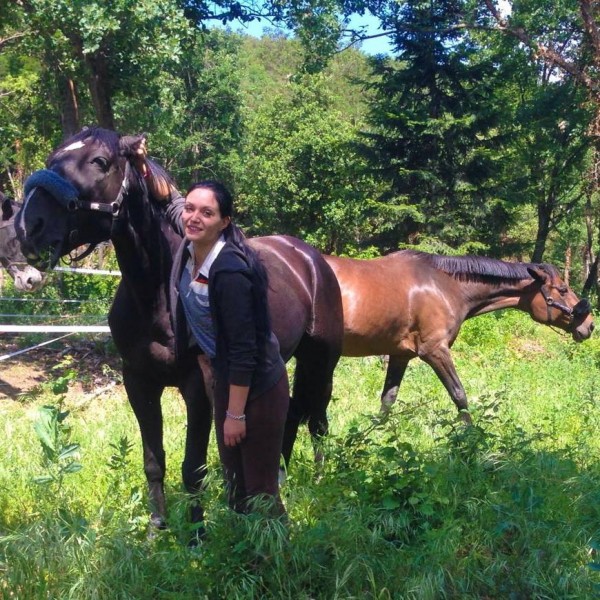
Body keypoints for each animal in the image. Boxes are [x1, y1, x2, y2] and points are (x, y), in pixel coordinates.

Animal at [15, 127, 343, 535]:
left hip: (321, 361)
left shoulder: (197, 387)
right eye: (51, 158)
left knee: (317, 417)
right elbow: (153, 460)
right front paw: (158, 527)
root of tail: (309, 257)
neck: (155, 294)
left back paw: (319, 479)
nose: (28, 228)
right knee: (292, 414)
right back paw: (282, 476)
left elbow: (193, 468)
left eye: (100, 162)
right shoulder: (139, 382)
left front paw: (197, 533)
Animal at [324, 251, 595, 423]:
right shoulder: (435, 351)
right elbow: (459, 395)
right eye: (563, 290)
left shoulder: (400, 355)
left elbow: (388, 399)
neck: (444, 285)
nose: (590, 325)